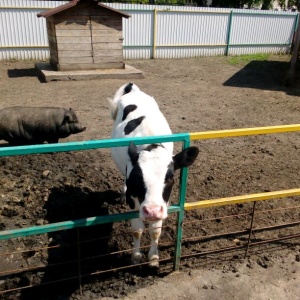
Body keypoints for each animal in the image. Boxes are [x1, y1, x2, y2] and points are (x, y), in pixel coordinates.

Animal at [108, 82, 199, 268]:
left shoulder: (163, 201)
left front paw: (154, 257)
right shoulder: (133, 200)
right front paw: (136, 255)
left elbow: (155, 230)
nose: (151, 211)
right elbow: (137, 229)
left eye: (170, 177)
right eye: (137, 178)